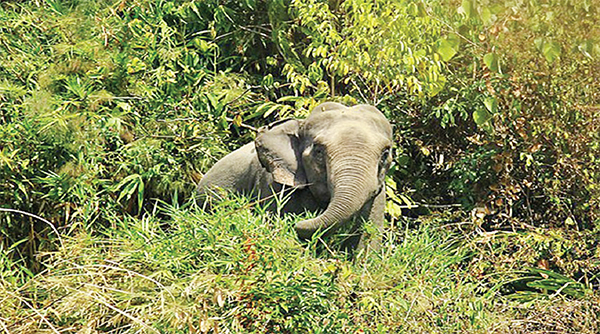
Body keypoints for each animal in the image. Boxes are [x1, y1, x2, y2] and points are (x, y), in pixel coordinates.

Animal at [197, 102, 394, 250]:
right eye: (319, 151)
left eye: (385, 154)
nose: (299, 221)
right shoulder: (273, 183)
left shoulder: (379, 192)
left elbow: (367, 239)